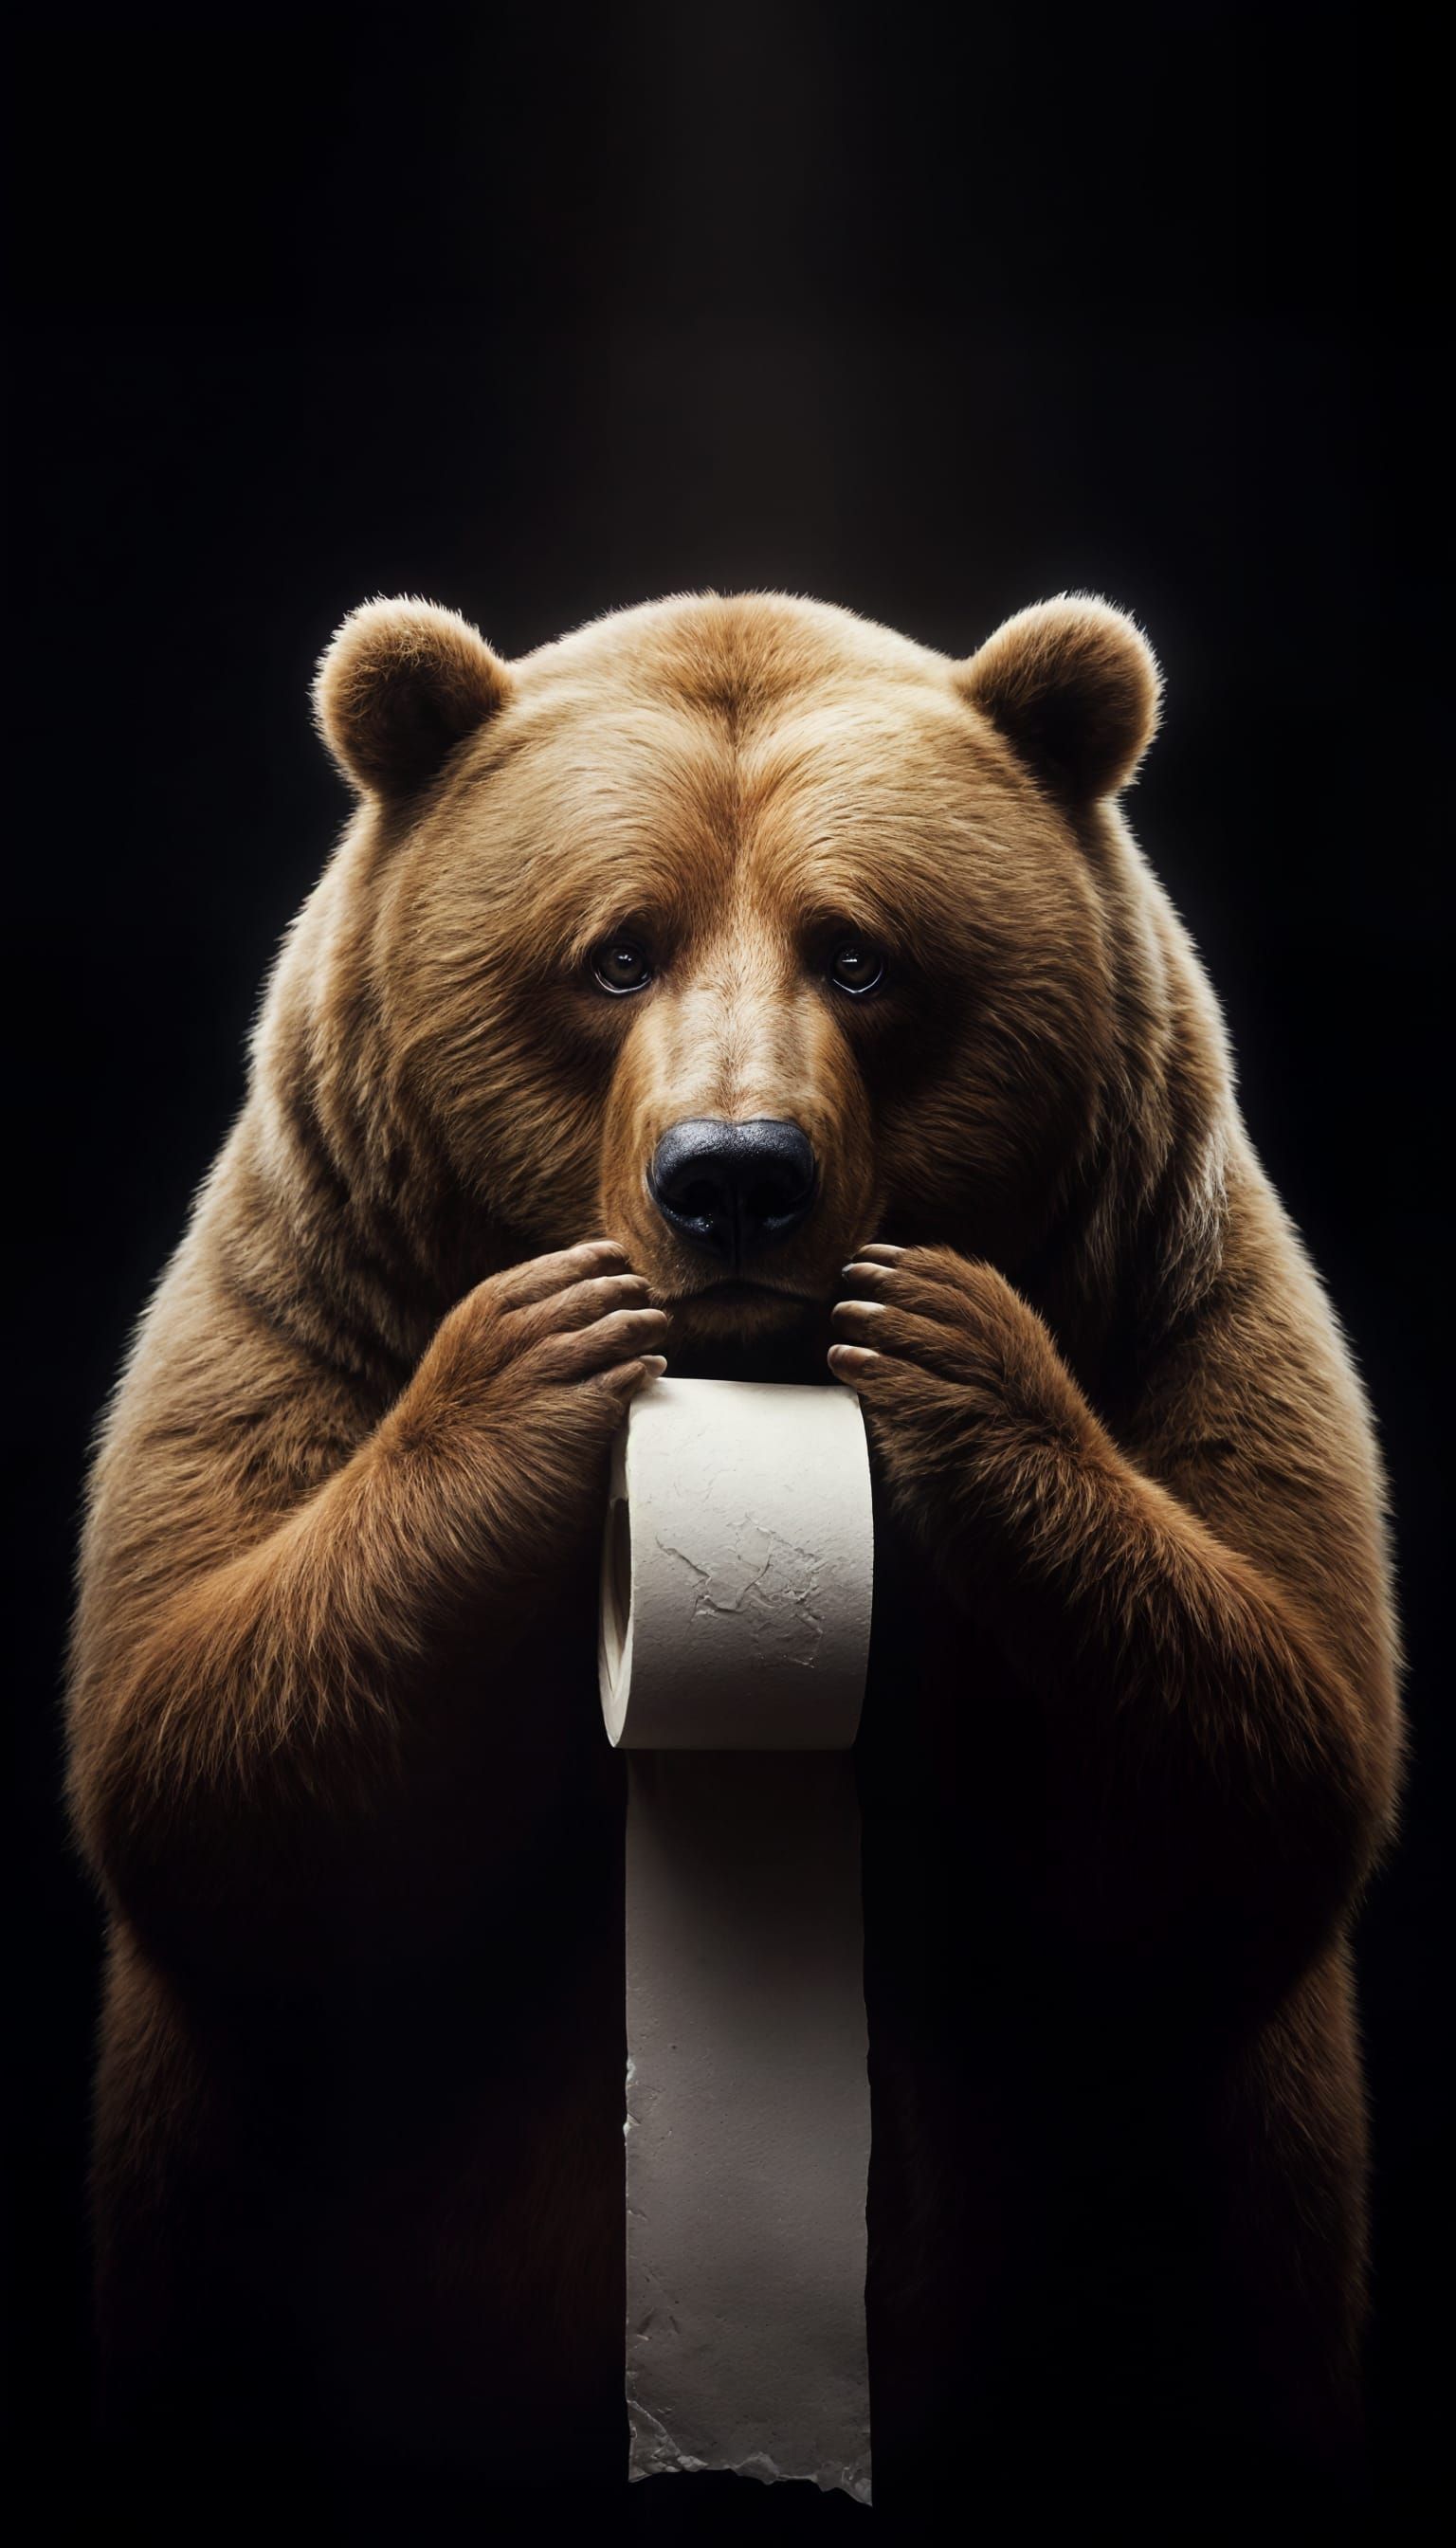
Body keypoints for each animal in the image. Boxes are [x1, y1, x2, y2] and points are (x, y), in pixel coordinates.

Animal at [66, 587, 1403, 2535]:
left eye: (860, 955)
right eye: (615, 953)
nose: (736, 1177)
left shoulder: (1182, 1304)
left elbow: (1257, 1764)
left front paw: (946, 1346)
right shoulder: (301, 1293)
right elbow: (203, 1756)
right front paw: (540, 1352)